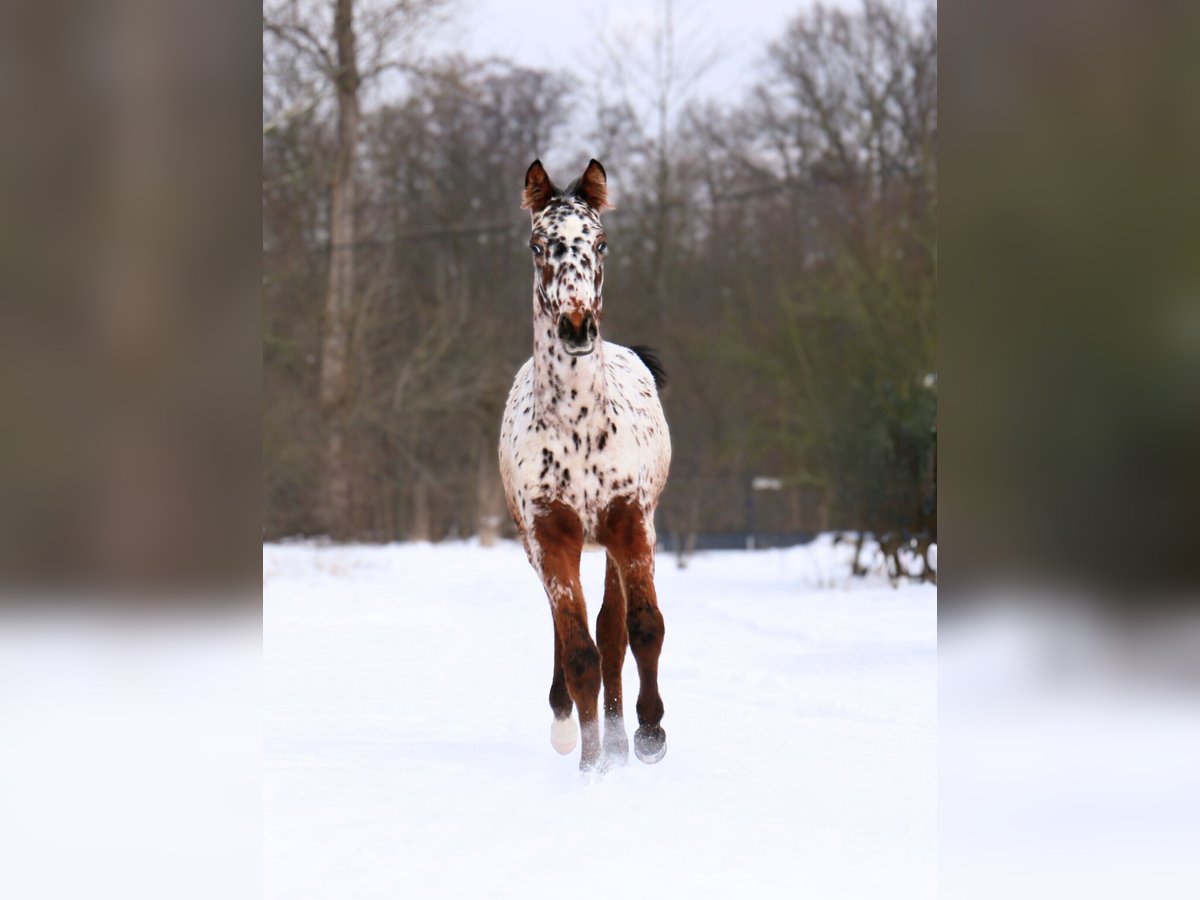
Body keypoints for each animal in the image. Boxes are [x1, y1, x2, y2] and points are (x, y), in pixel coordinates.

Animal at [499, 159, 671, 772]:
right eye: (537, 244)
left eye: (599, 241)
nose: (576, 327)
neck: (578, 431)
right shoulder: (552, 535)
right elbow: (579, 653)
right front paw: (592, 764)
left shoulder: (630, 524)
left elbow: (641, 629)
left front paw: (648, 736)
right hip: (545, 546)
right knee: (574, 636)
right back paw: (580, 734)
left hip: (616, 542)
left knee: (614, 631)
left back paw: (623, 741)